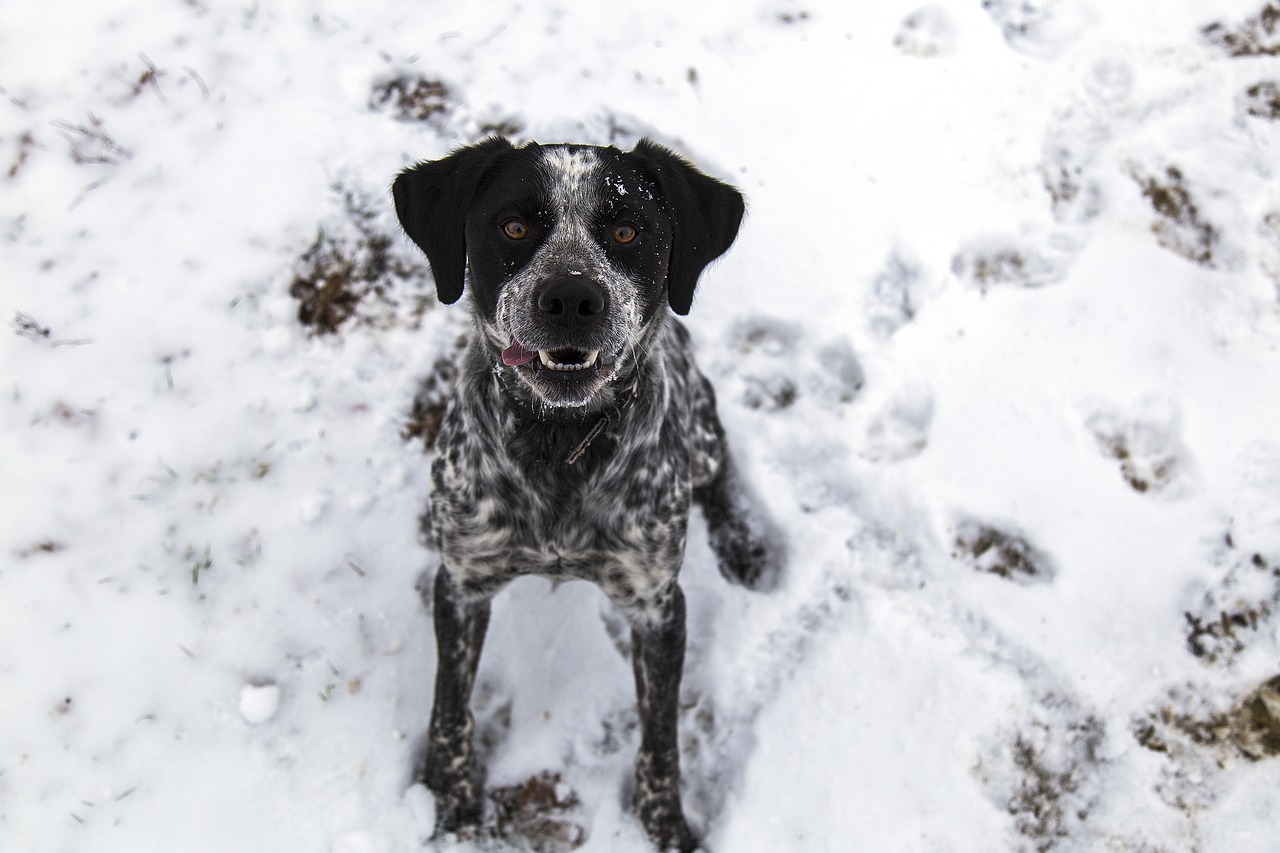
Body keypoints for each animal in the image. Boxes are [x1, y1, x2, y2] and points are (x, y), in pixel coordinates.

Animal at [391, 136, 778, 845]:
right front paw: (446, 802)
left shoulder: (657, 606)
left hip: (701, 433)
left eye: (627, 231)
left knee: (721, 463)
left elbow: (661, 739)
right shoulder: (461, 583)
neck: (560, 442)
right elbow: (448, 708)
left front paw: (665, 827)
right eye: (514, 227)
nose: (571, 298)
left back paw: (743, 542)